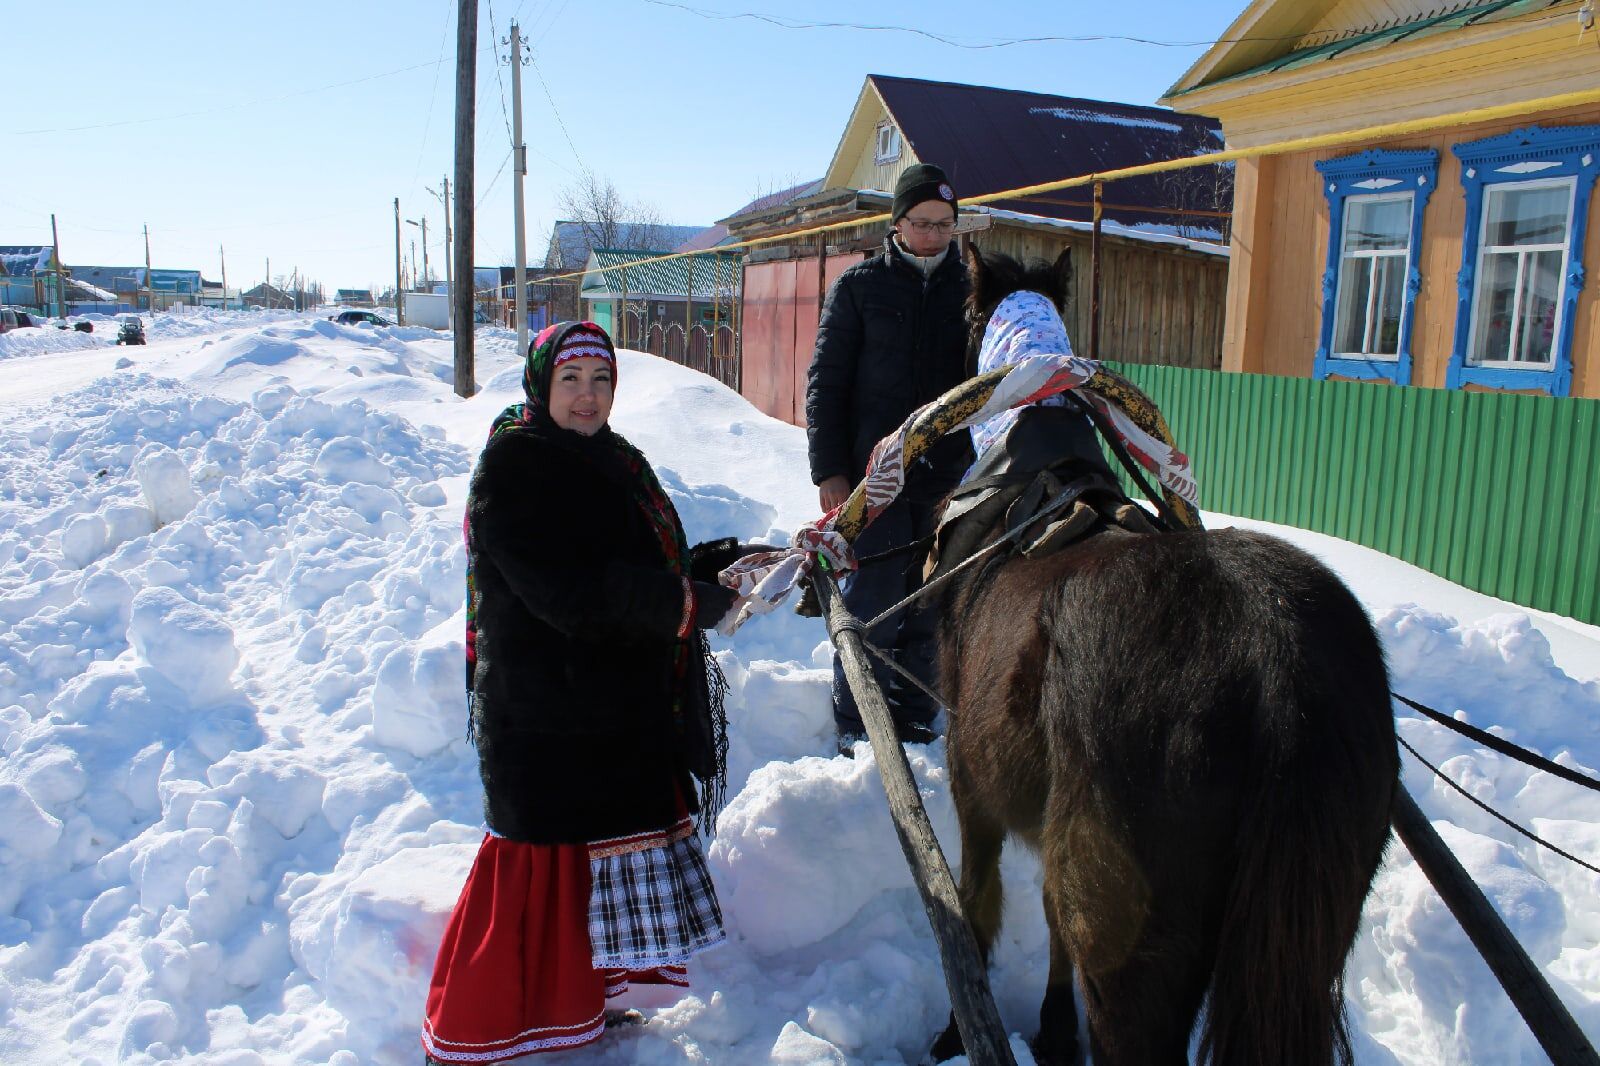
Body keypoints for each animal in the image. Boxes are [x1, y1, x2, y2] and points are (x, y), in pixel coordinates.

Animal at [928, 249, 1401, 1062]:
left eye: (960, 311)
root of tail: (1275, 662)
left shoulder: (972, 781)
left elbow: (977, 902)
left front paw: (961, 1027)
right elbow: (1047, 913)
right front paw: (1054, 1026)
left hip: (1133, 944)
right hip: (1305, 947)